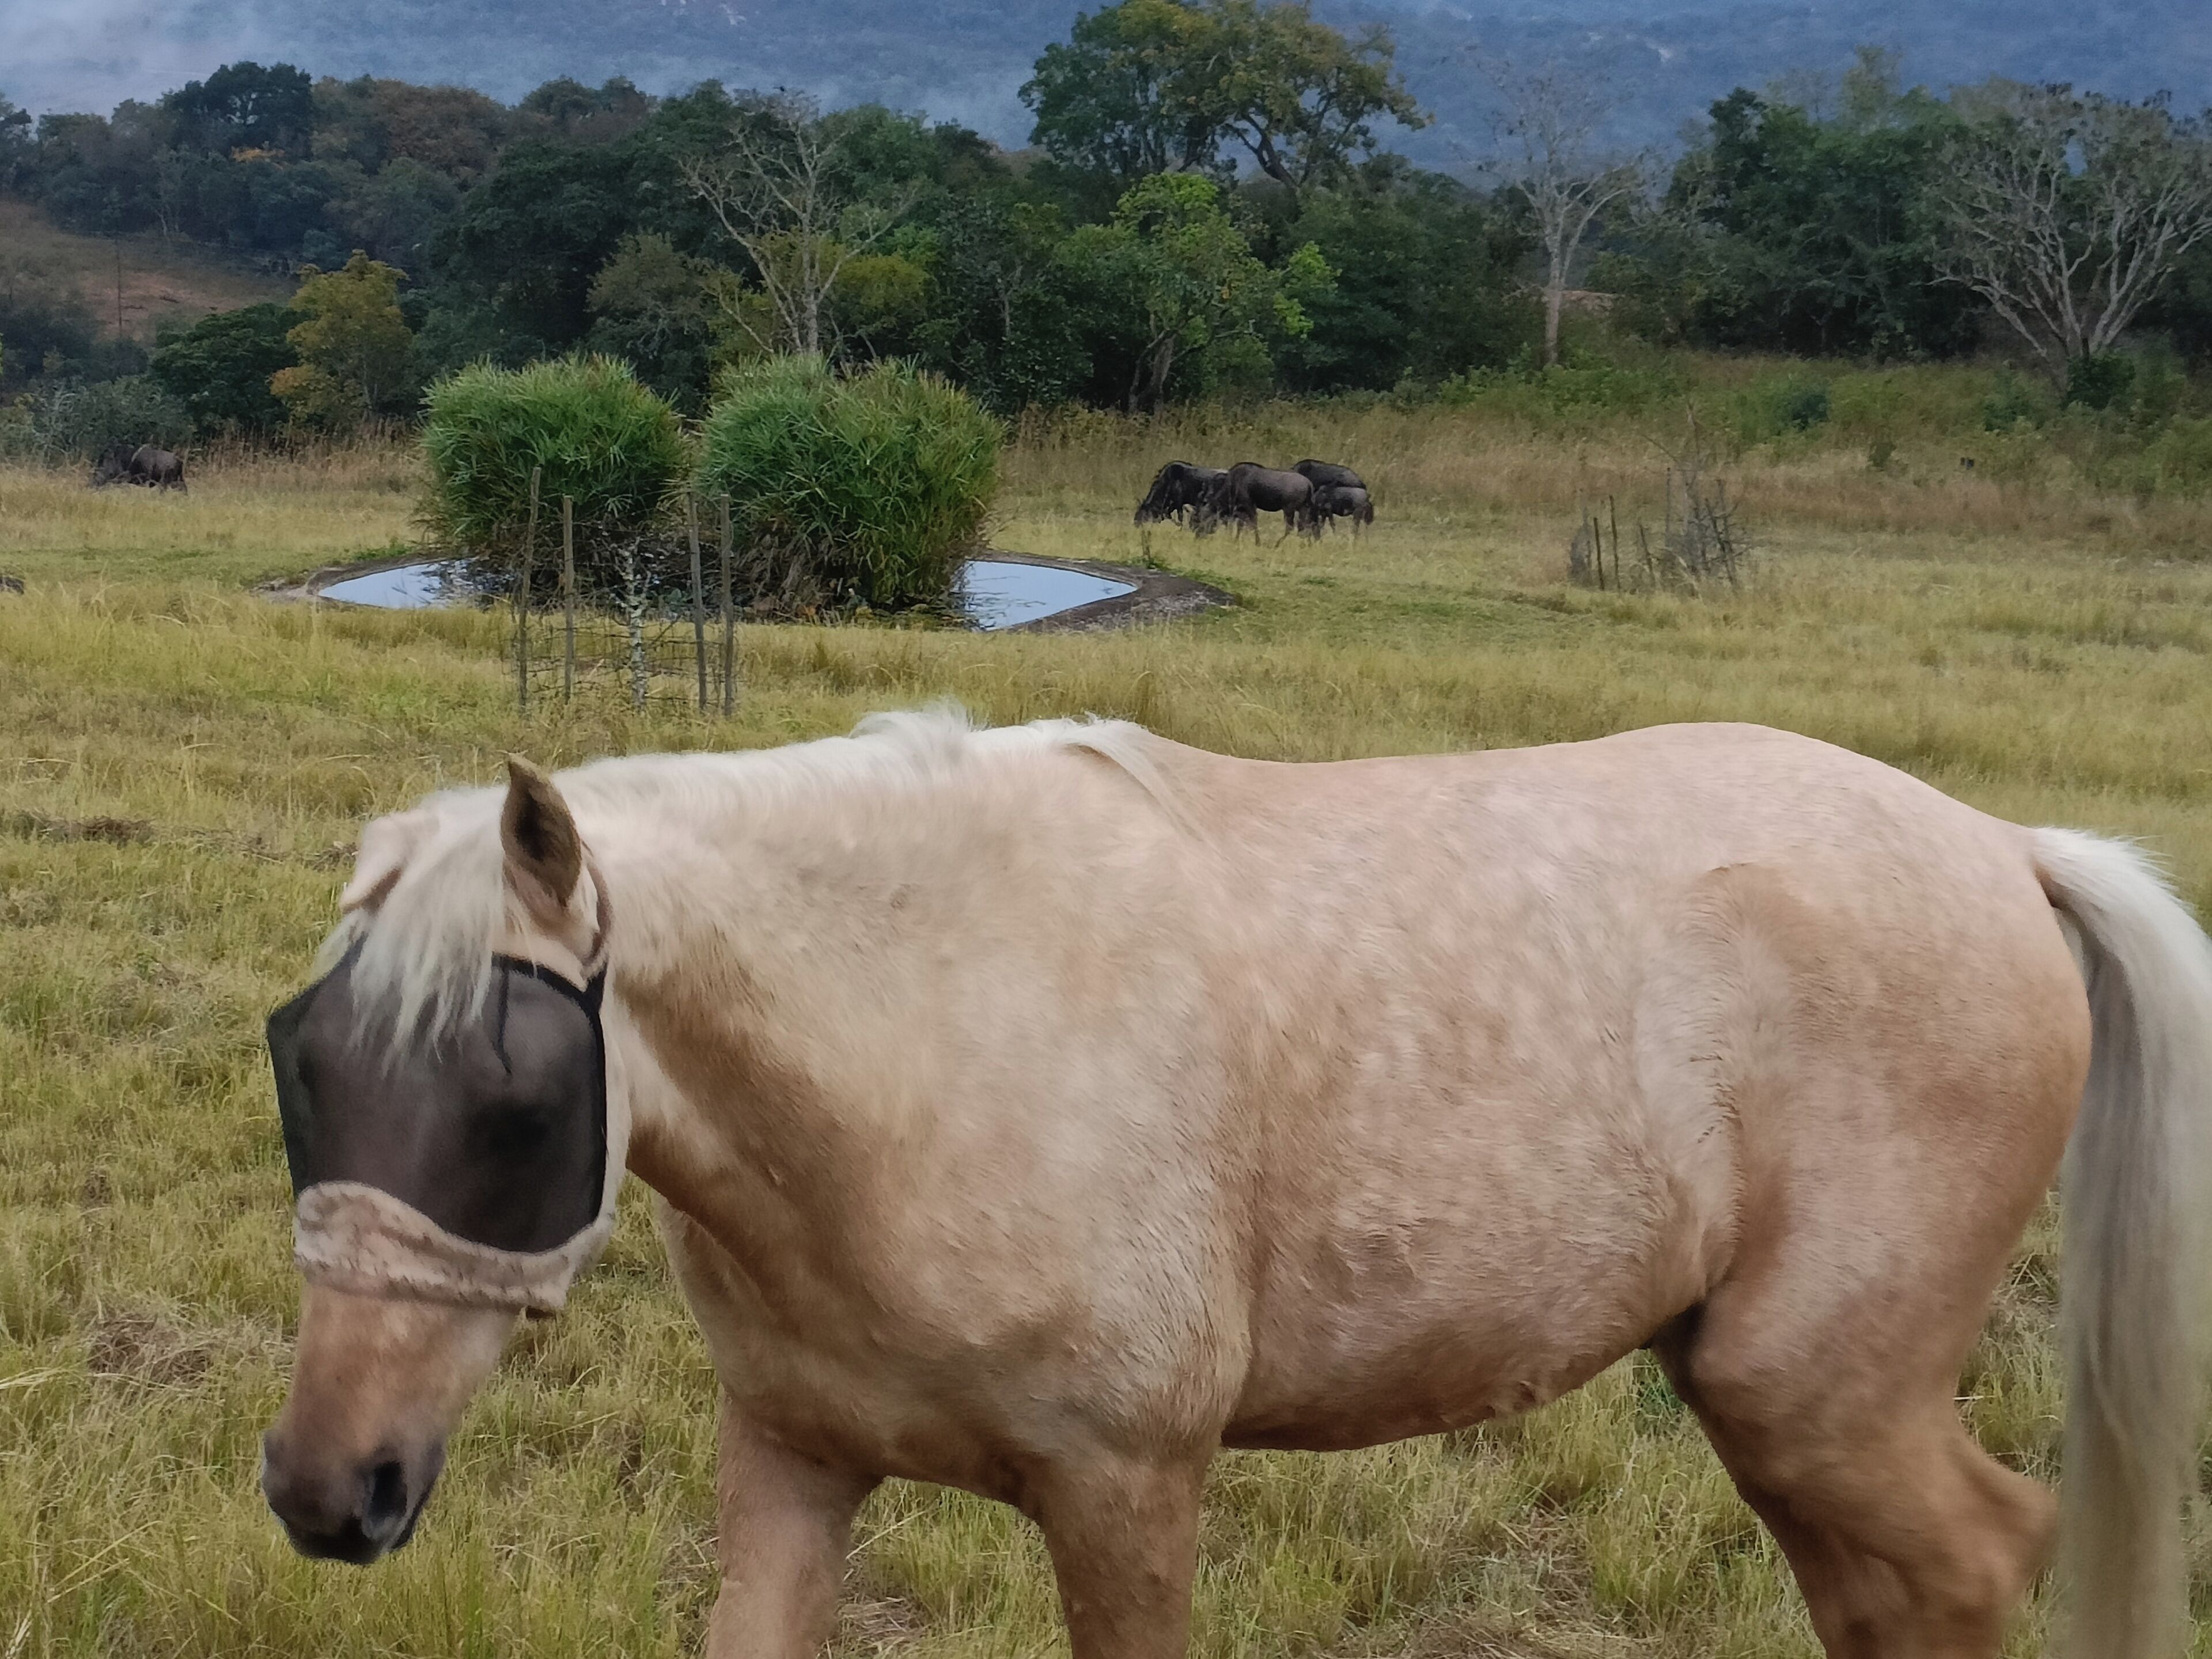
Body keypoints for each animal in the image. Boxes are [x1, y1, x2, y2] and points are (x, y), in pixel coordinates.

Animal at [258, 711, 2212, 1659]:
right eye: (303, 1067)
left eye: (515, 1104)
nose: (327, 1488)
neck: (936, 1029)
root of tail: (2004, 852)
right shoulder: (795, 1466)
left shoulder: (1126, 1490)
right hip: (1770, 1406)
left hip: (1819, 1395)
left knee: (1973, 1563)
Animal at [1211, 461, 1313, 542]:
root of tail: (1309, 485)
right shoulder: (1243, 509)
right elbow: (1241, 526)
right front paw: (1236, 541)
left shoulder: (1249, 505)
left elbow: (1253, 524)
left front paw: (1258, 542)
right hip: (1303, 509)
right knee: (1304, 528)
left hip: (1289, 509)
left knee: (1291, 528)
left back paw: (1277, 544)